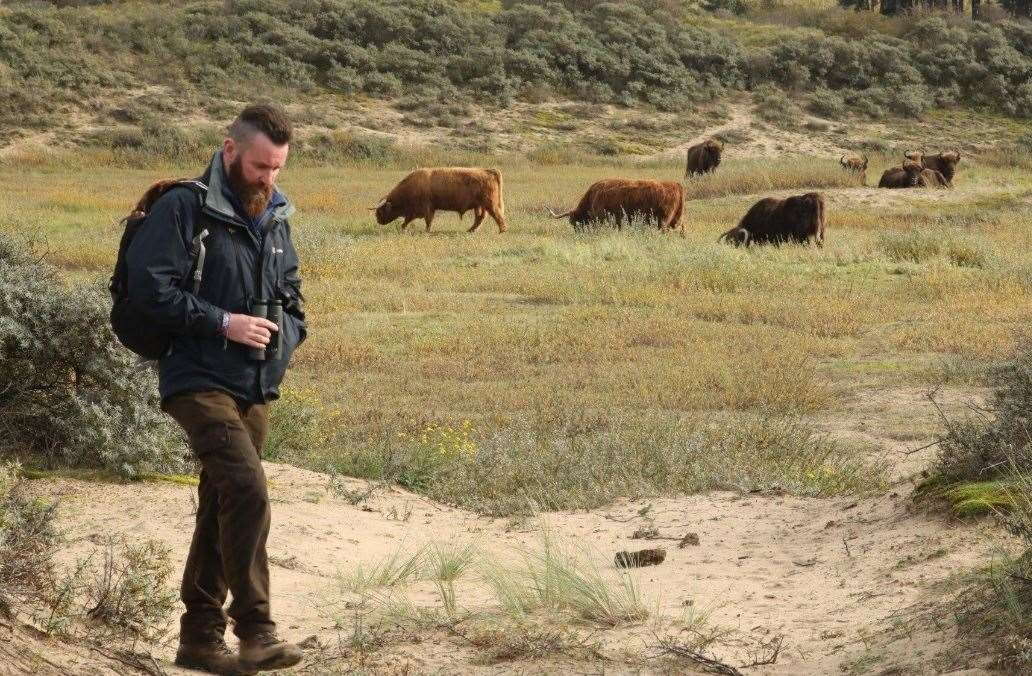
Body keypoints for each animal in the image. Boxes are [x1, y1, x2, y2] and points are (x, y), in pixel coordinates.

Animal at [373, 168, 505, 234]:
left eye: (380, 212)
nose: (378, 221)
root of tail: (488, 171)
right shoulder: (418, 211)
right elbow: (407, 220)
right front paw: (403, 228)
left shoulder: (426, 208)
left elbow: (427, 220)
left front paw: (427, 231)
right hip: (480, 205)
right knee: (480, 218)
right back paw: (471, 230)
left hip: (490, 204)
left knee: (497, 215)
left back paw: (502, 231)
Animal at [549, 179, 685, 235]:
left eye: (574, 222)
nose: (578, 233)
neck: (592, 197)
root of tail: (675, 184)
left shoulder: (602, 218)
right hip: (676, 219)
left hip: (663, 221)